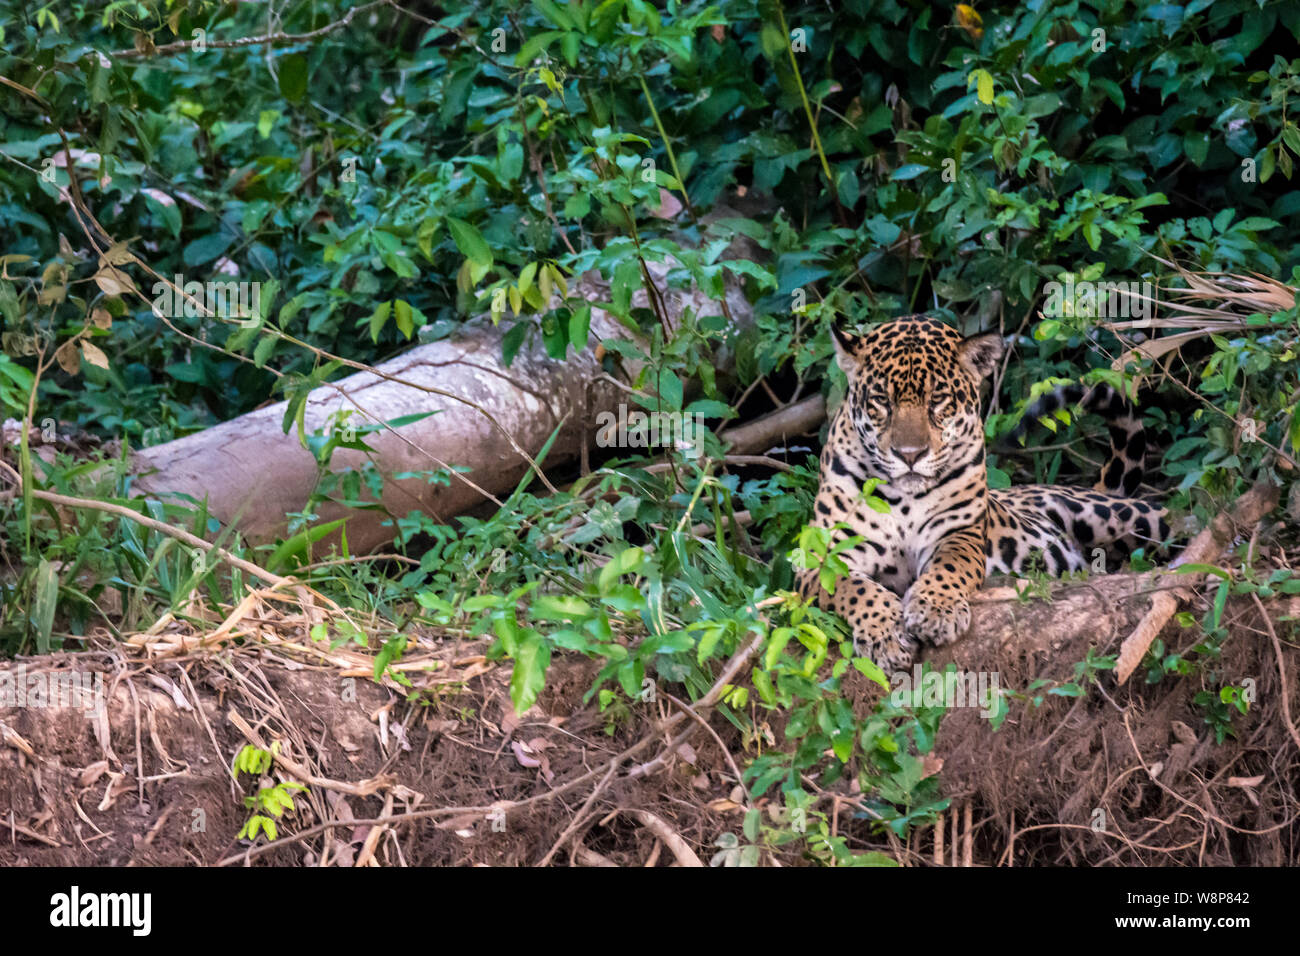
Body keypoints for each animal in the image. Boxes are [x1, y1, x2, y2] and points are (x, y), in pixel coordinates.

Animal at [797, 314, 1169, 672]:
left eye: (938, 400)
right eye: (880, 401)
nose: (909, 454)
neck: (903, 499)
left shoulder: (959, 533)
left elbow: (949, 565)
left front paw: (935, 611)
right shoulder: (820, 558)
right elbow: (852, 587)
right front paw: (885, 635)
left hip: (1116, 515)